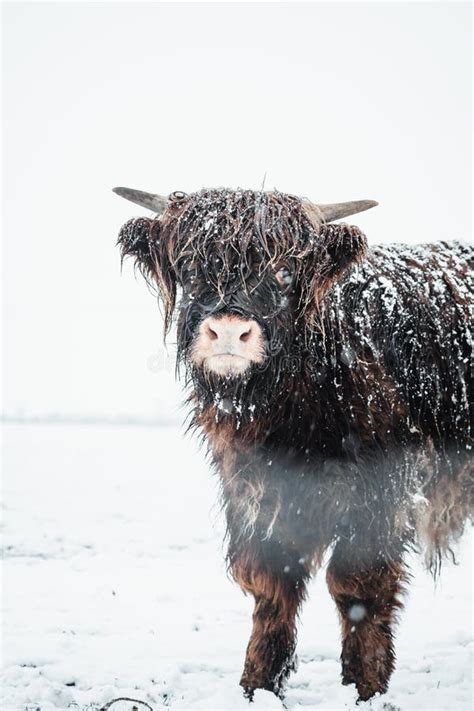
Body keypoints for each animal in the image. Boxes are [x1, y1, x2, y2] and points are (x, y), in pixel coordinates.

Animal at [114, 186, 470, 704]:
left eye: (284, 271)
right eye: (191, 267)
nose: (228, 331)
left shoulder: (383, 490)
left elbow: (357, 585)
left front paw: (365, 688)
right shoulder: (256, 490)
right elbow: (270, 584)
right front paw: (257, 686)